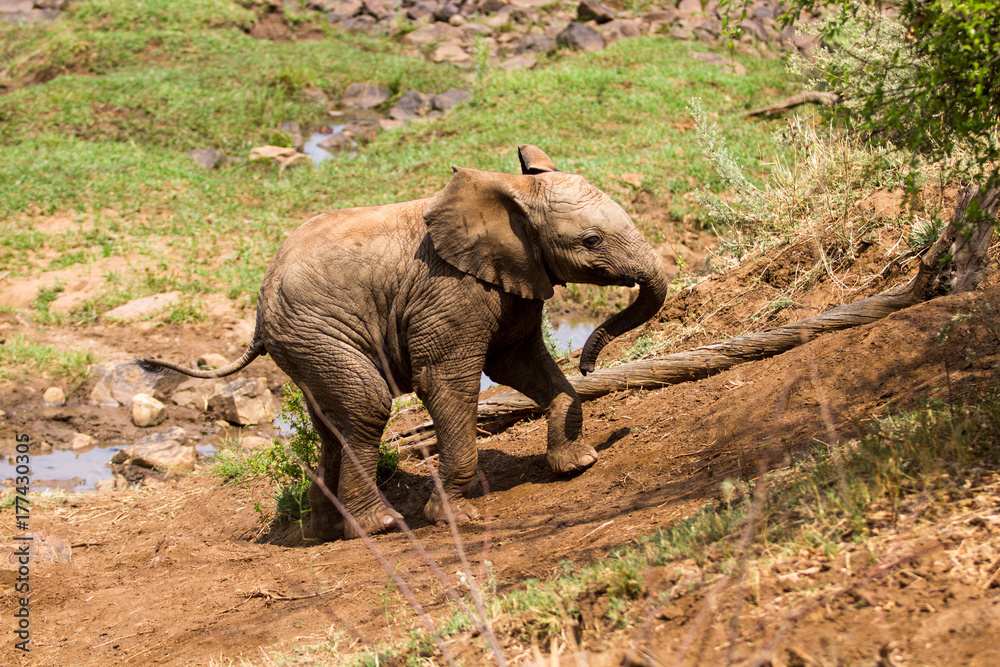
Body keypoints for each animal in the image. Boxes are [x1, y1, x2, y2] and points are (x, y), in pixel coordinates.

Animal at [140, 145, 668, 541]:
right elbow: (448, 383)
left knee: (332, 421)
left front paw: (578, 464)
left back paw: (327, 531)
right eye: (592, 241)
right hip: (313, 332)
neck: (509, 192)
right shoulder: (453, 293)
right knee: (366, 405)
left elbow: (519, 365)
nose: (589, 364)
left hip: (306, 345)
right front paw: (455, 519)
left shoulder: (514, 282)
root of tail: (259, 305)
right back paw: (380, 525)